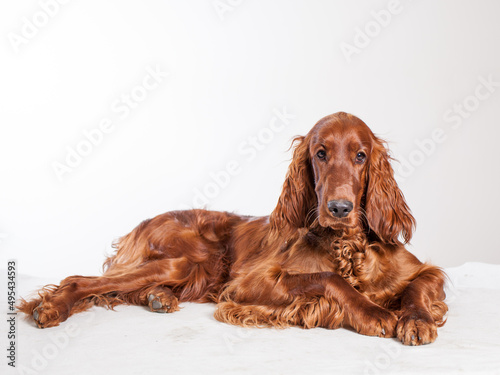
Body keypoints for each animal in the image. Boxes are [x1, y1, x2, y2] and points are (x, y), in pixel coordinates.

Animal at [20, 112, 450, 346]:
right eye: (320, 153)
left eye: (361, 155)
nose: (340, 208)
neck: (347, 247)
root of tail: (145, 221)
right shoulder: (247, 284)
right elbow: (329, 279)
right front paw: (373, 312)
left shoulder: (424, 271)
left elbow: (419, 286)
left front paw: (417, 320)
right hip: (179, 261)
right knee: (80, 279)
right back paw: (52, 307)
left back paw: (159, 298)